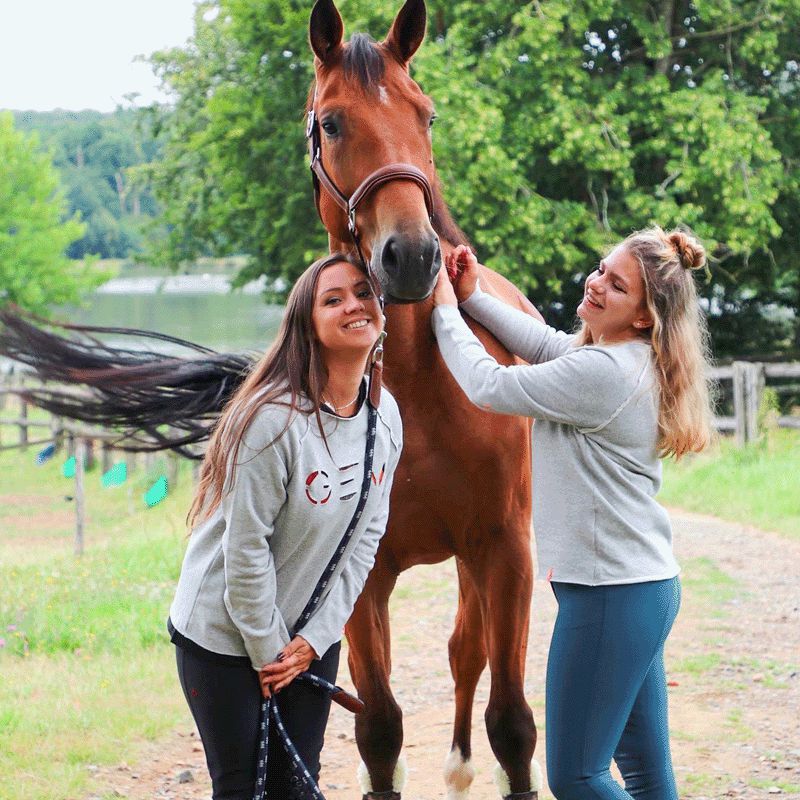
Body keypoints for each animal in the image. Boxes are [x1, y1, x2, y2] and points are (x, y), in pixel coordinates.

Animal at [306, 3, 544, 796]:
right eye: (333, 123)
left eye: (427, 113)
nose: (412, 256)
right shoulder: (363, 576)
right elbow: (379, 729)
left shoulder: (505, 552)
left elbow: (513, 723)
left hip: (476, 563)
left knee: (468, 652)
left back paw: (463, 763)